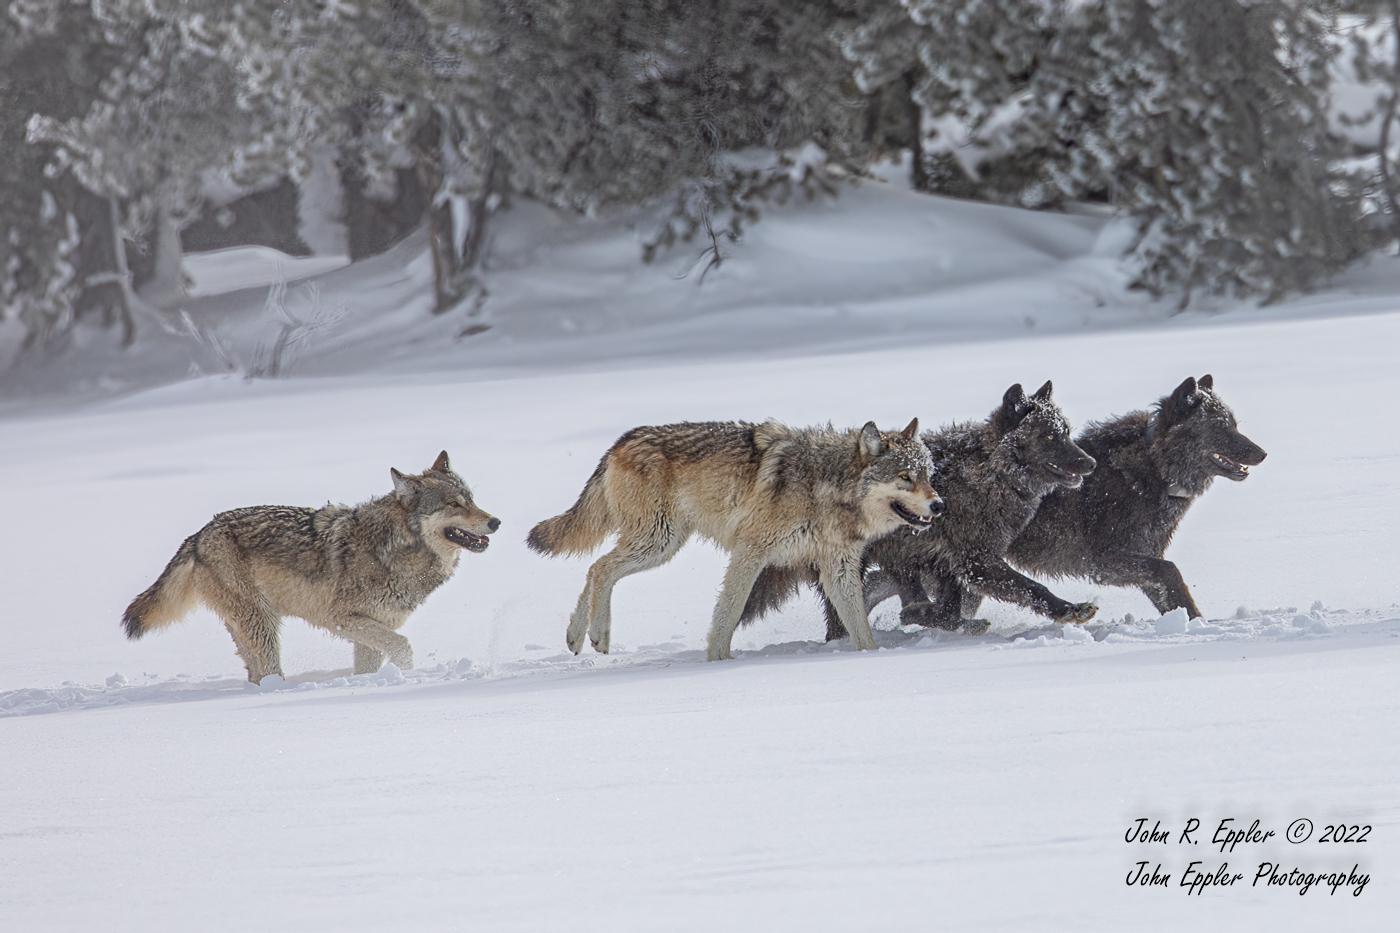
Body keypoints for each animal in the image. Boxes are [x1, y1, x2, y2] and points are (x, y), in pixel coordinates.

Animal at [122, 451, 499, 683]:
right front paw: (405, 676)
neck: (394, 547)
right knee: (268, 671)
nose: (495, 522)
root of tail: (200, 533)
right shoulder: (344, 619)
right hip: (263, 623)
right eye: (454, 504)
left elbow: (373, 663)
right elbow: (403, 647)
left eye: (472, 500)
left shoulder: (371, 628)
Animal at [526, 419, 942, 660]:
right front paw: (718, 661)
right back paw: (597, 634)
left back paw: (578, 637)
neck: (826, 484)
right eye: (905, 478)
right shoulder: (750, 552)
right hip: (657, 542)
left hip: (660, 544)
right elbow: (728, 613)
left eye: (928, 474)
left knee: (596, 570)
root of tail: (620, 441)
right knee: (600, 568)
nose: (938, 505)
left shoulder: (838, 569)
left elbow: (859, 626)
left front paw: (871, 657)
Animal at [741, 381, 1099, 637]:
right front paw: (1070, 610)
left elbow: (950, 607)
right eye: (1049, 436)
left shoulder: (944, 561)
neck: (988, 473)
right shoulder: (975, 562)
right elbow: (1031, 587)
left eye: (1066, 432)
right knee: (841, 617)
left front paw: (926, 615)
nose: (1091, 463)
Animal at [1003, 374, 1266, 620]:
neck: (1157, 468)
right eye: (1219, 427)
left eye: (1234, 425)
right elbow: (1171, 572)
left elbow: (1172, 595)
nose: (1263, 454)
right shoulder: (1103, 562)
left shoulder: (1144, 558)